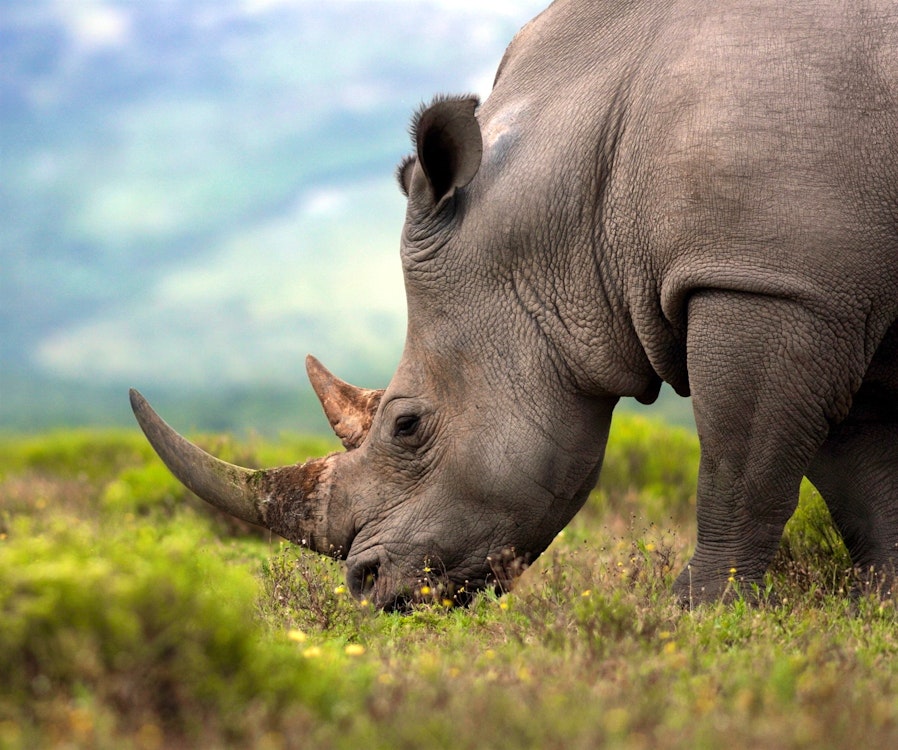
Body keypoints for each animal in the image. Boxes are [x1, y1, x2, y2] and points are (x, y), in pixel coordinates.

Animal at [131, 0, 898, 609]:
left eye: (407, 426)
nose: (364, 585)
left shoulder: (766, 279)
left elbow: (740, 466)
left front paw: (700, 615)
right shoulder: (822, 289)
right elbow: (859, 473)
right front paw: (878, 605)